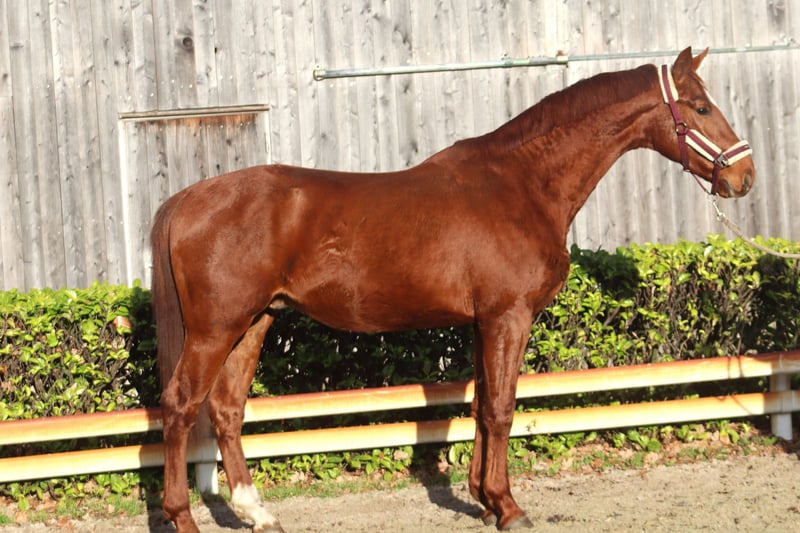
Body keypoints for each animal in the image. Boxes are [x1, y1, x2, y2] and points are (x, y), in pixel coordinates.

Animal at [151, 47, 754, 532]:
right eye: (700, 107)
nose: (743, 176)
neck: (521, 184)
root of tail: (187, 199)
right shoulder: (509, 316)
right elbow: (502, 409)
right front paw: (508, 507)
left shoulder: (485, 322)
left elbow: (483, 403)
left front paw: (484, 500)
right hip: (215, 330)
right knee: (181, 406)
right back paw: (183, 517)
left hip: (255, 322)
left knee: (226, 409)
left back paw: (258, 512)